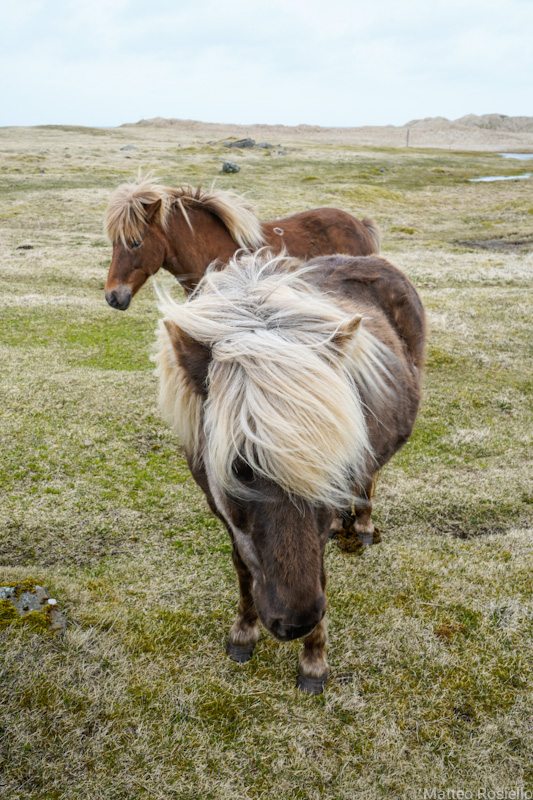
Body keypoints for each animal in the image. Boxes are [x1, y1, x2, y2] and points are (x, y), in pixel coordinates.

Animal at [154, 250, 425, 693]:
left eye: (333, 456)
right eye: (239, 468)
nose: (296, 623)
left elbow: (320, 573)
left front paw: (314, 662)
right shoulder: (223, 511)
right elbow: (243, 568)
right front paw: (243, 634)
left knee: (369, 481)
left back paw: (363, 526)